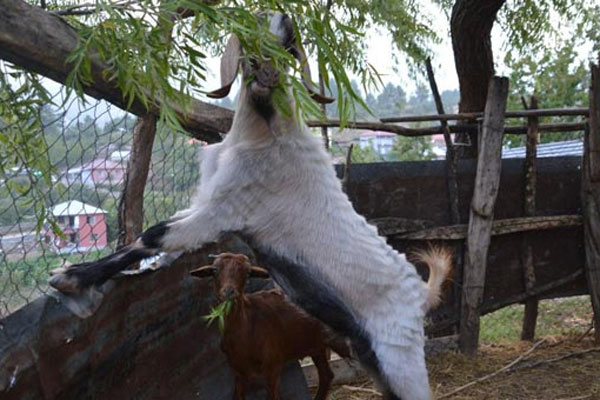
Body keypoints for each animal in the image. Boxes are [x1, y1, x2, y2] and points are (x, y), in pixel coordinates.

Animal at [192, 253, 350, 400]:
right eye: (215, 270)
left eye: (247, 273)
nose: (229, 292)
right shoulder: (238, 372)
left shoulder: (273, 367)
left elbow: (273, 396)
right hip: (316, 345)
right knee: (326, 375)